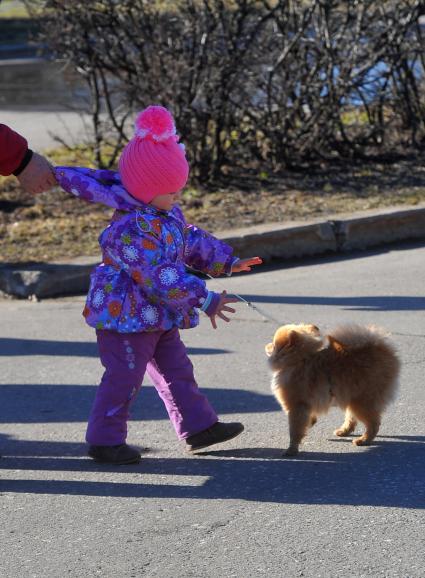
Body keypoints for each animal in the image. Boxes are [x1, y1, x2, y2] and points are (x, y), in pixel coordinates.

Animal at [264, 322, 400, 452]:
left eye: (274, 345)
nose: (266, 345)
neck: (299, 360)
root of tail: (381, 348)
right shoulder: (306, 405)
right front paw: (311, 423)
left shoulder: (296, 406)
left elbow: (295, 430)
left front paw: (292, 449)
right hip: (351, 396)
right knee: (352, 417)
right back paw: (344, 431)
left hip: (362, 400)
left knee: (373, 423)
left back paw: (364, 440)